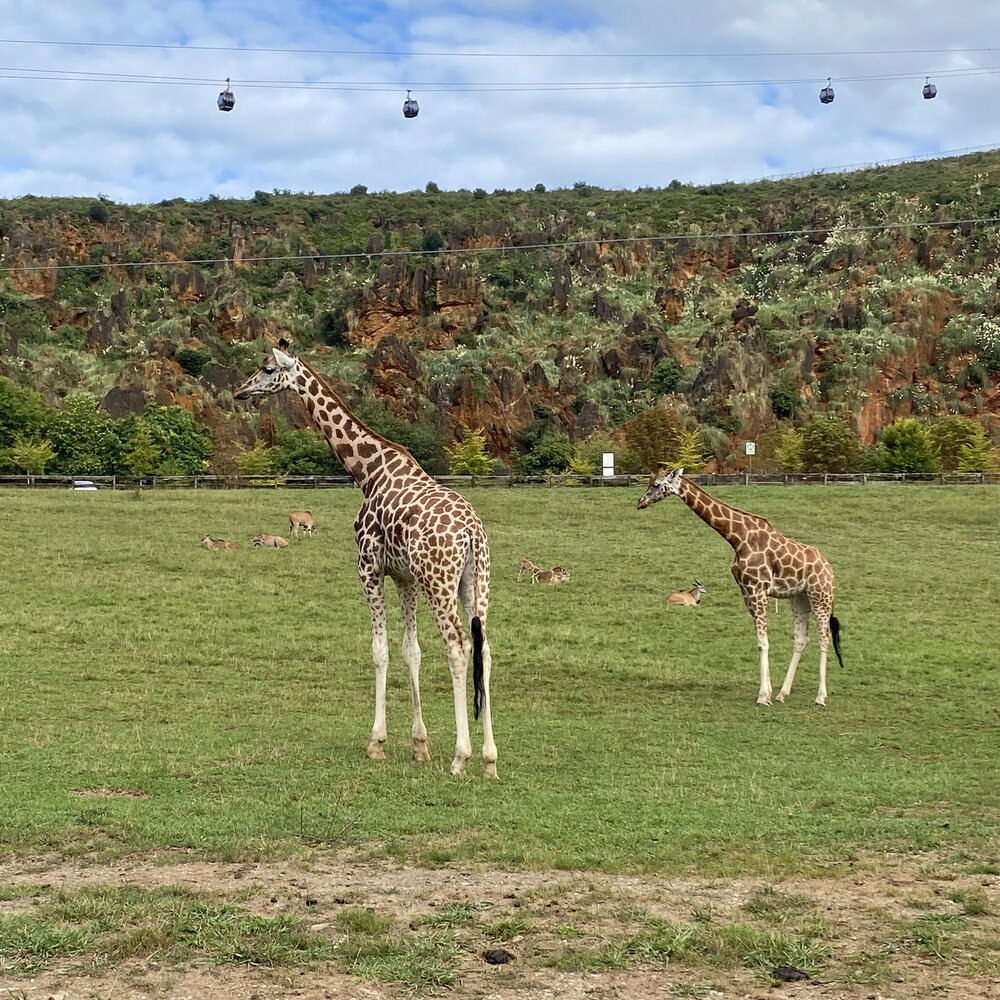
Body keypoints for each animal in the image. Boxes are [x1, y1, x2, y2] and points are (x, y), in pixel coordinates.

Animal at [235, 340, 500, 776]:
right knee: (485, 649)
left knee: (458, 646)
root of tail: (472, 533)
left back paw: (461, 757)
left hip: (438, 581)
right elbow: (411, 650)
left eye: (268, 368)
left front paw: (376, 742)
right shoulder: (404, 577)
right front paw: (419, 744)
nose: (241, 390)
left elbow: (380, 651)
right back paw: (490, 760)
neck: (367, 472)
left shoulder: (369, 568)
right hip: (474, 583)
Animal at [636, 466, 840, 708]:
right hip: (799, 598)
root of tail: (829, 569)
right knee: (801, 639)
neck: (737, 538)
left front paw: (762, 696)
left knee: (824, 637)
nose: (640, 502)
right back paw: (783, 694)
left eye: (656, 484)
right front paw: (769, 693)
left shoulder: (757, 589)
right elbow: (761, 641)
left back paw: (820, 696)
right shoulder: (746, 591)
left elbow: (763, 642)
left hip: (820, 596)